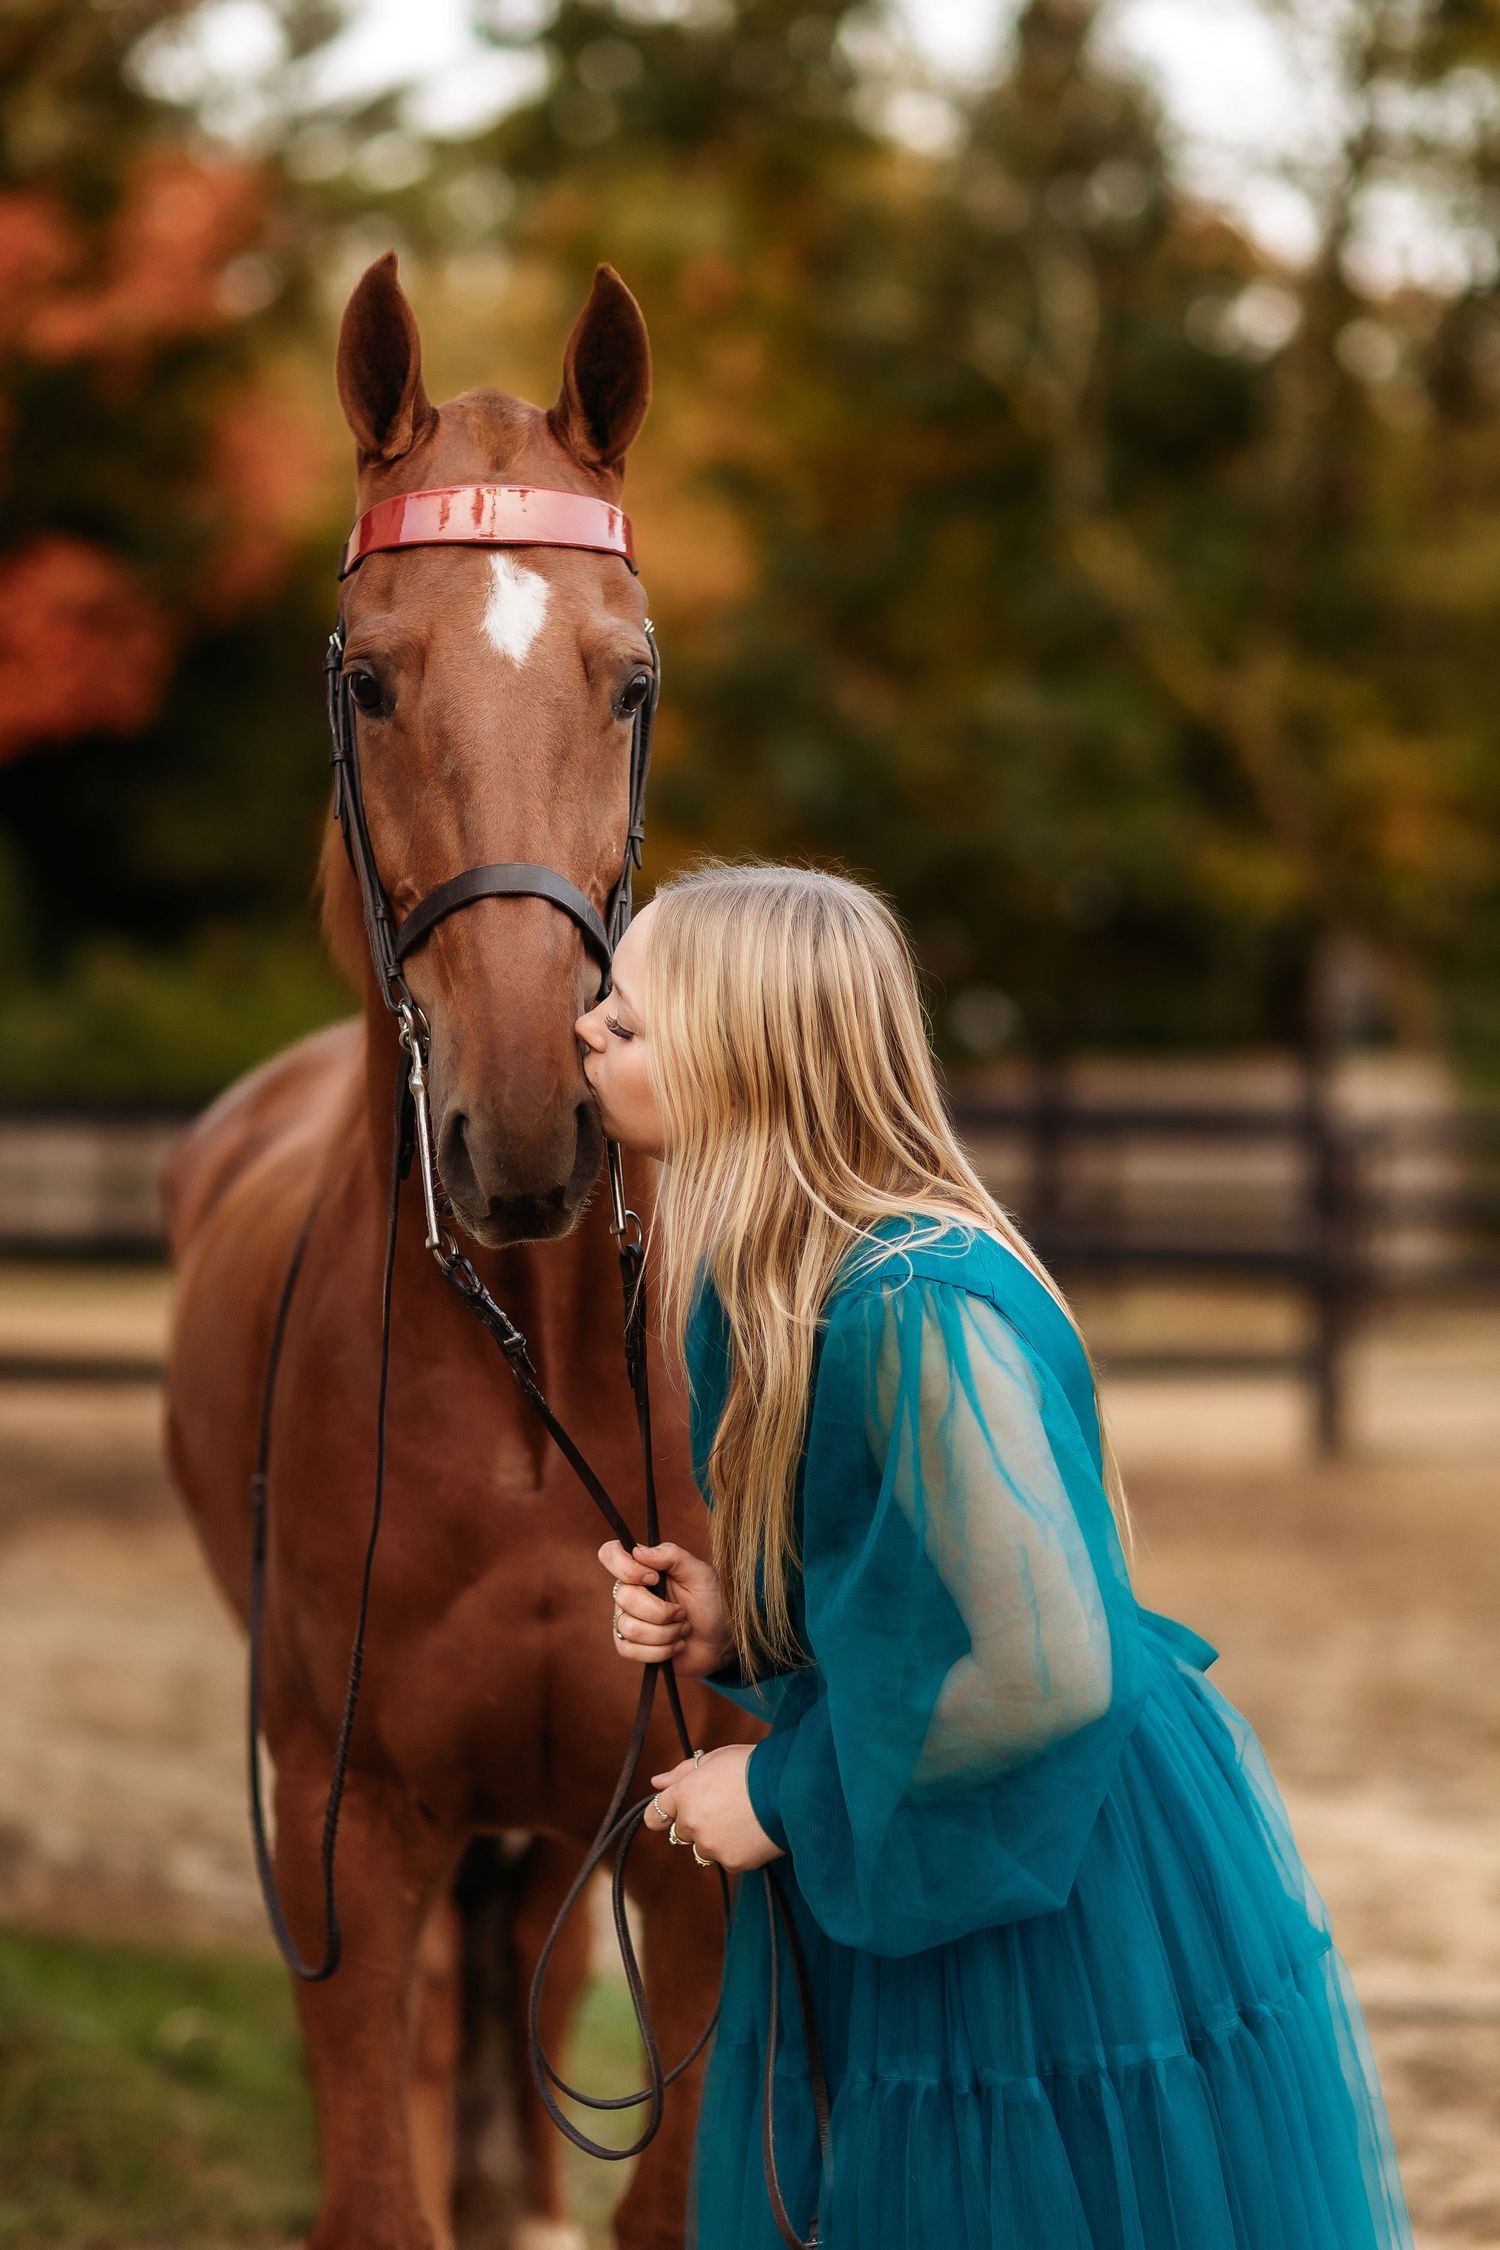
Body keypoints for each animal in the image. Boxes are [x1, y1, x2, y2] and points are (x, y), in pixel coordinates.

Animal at [162, 251, 754, 2250]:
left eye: (632, 682)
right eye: (367, 676)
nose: (524, 1132)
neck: (527, 1394)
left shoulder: (683, 1857)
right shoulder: (348, 1842)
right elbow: (382, 2177)